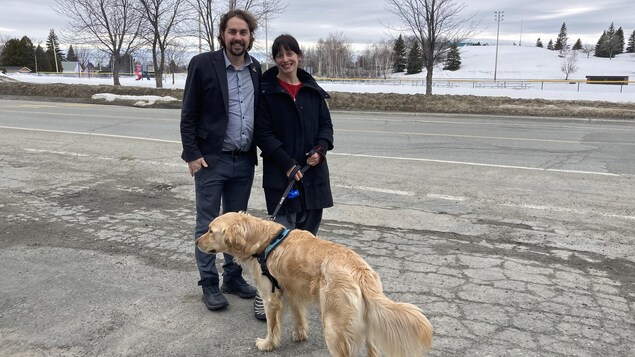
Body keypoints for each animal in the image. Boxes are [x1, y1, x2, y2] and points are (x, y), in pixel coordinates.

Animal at [195, 213, 432, 354]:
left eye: (210, 230)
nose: (196, 241)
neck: (264, 241)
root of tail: (359, 270)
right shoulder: (292, 292)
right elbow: (299, 317)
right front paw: (299, 335)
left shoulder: (271, 298)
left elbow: (272, 327)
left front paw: (267, 344)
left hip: (333, 327)